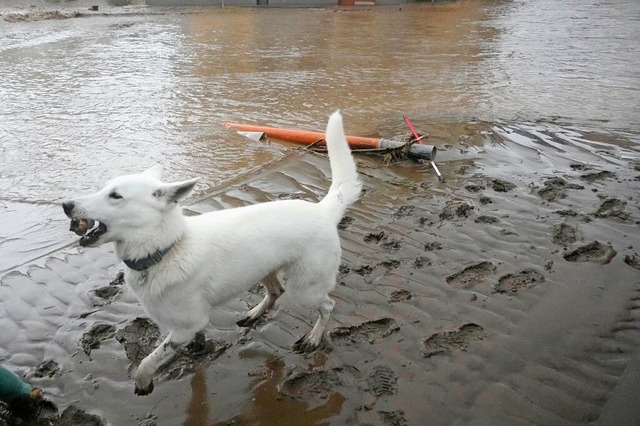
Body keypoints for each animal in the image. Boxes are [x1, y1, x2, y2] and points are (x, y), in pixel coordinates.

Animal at [62, 111, 362, 394]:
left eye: (115, 196)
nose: (66, 204)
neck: (167, 249)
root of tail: (323, 210)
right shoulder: (190, 324)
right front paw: (199, 348)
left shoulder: (183, 327)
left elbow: (149, 360)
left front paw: (144, 382)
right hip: (263, 268)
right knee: (276, 291)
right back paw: (255, 313)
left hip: (306, 289)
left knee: (327, 305)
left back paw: (314, 337)